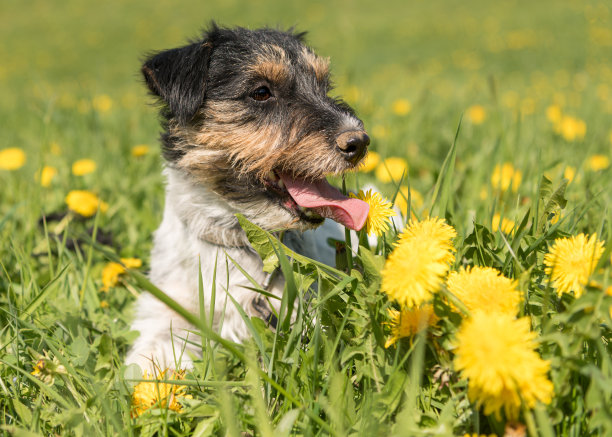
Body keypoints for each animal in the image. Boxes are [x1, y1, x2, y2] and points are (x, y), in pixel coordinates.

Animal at [126, 23, 370, 370]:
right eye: (261, 92)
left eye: (324, 86)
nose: (359, 142)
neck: (239, 241)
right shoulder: (167, 308)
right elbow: (153, 353)